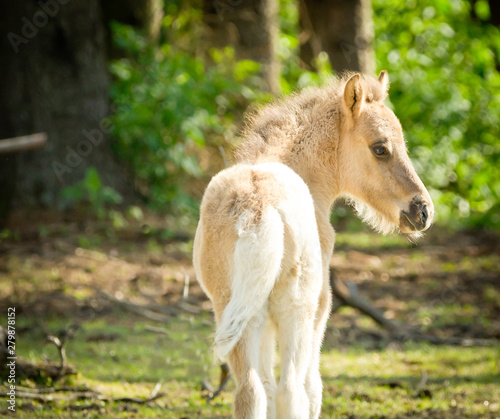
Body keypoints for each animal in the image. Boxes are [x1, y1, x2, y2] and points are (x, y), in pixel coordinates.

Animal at [193, 70, 436, 418]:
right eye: (380, 148)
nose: (423, 211)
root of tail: (259, 208)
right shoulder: (320, 312)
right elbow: (313, 389)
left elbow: (265, 387)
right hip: (297, 310)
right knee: (291, 391)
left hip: (234, 310)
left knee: (251, 391)